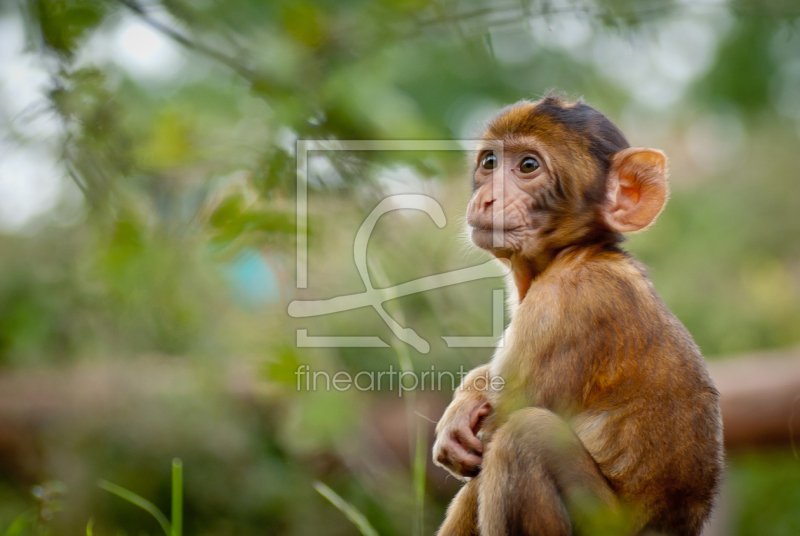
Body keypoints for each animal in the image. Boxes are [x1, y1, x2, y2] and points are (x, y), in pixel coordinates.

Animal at [434, 96, 720, 536]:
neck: (575, 253)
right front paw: (467, 398)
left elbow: (499, 432)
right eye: (489, 162)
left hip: (604, 524)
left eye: (528, 165)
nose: (486, 200)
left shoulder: (564, 304)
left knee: (525, 438)